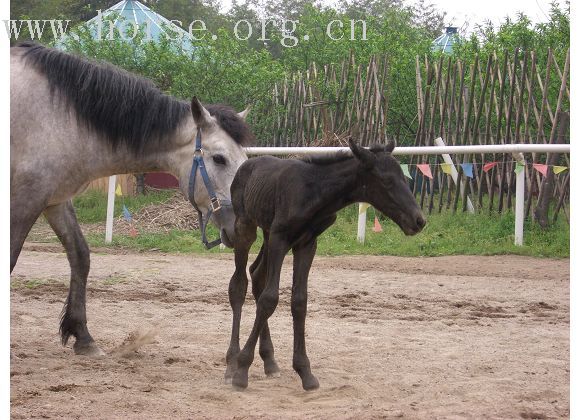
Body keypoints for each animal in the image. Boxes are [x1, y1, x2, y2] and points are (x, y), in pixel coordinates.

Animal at [10, 42, 253, 356]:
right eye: (220, 159)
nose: (243, 228)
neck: (61, 116)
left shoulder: (55, 200)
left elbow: (80, 255)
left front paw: (83, 337)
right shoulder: (27, 199)